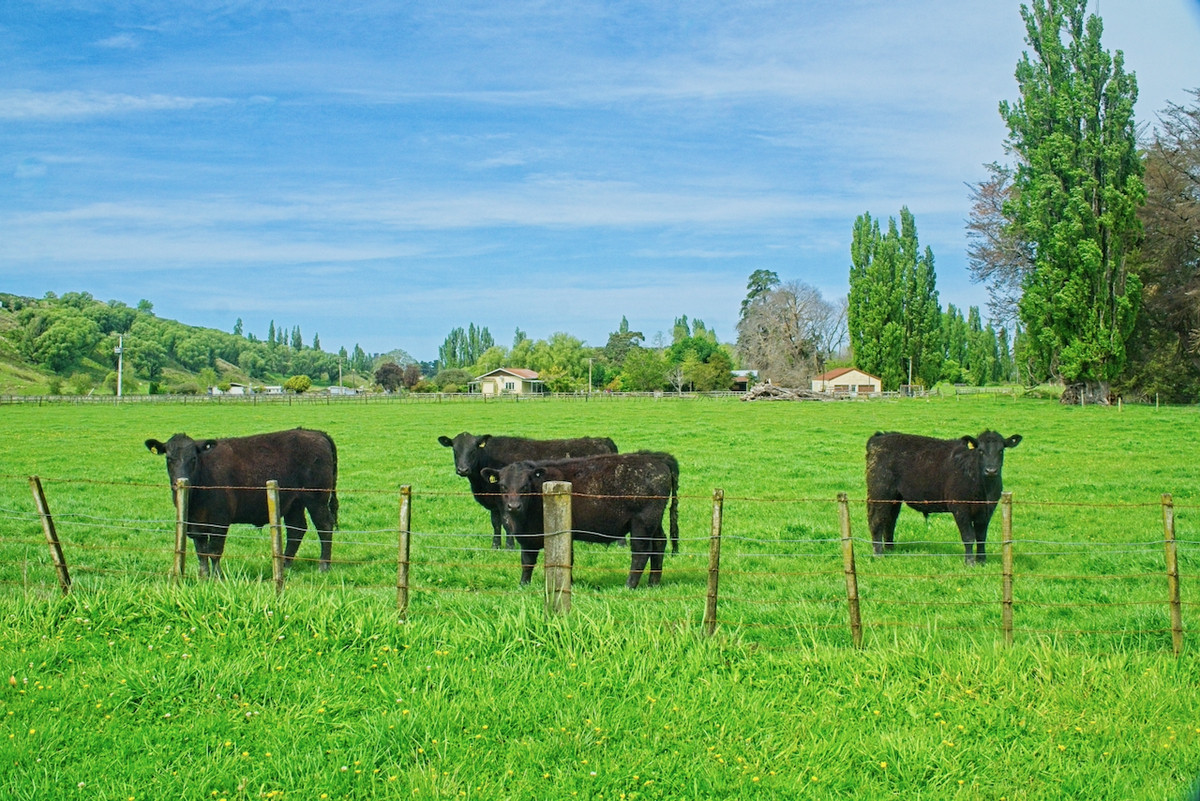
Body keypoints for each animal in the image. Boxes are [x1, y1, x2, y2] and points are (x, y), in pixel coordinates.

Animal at [149, 429, 340, 577]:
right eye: (169, 459)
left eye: (193, 459)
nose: (180, 482)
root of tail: (316, 433)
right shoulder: (195, 523)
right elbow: (201, 551)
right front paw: (203, 576)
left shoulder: (220, 519)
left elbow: (214, 550)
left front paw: (217, 577)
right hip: (294, 503)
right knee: (296, 530)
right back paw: (285, 565)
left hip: (316, 499)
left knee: (324, 526)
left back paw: (324, 565)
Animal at [436, 431, 614, 551]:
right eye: (455, 450)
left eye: (473, 450)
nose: (462, 469)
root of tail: (603, 440)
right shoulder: (494, 503)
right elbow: (496, 523)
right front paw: (495, 546)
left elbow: (507, 523)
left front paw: (510, 546)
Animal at [482, 450, 681, 587]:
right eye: (502, 485)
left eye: (525, 486)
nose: (513, 506)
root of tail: (656, 458)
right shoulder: (529, 538)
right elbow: (527, 561)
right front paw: (524, 585)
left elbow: (562, 560)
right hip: (654, 522)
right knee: (659, 544)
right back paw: (653, 582)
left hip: (642, 523)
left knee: (641, 552)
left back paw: (629, 585)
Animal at [864, 429, 1022, 565]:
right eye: (980, 451)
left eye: (1001, 450)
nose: (991, 470)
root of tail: (879, 437)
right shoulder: (960, 508)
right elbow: (968, 537)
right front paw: (970, 562)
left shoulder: (986, 511)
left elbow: (981, 536)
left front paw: (982, 560)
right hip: (881, 493)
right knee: (876, 521)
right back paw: (879, 554)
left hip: (895, 498)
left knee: (890, 521)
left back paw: (891, 549)